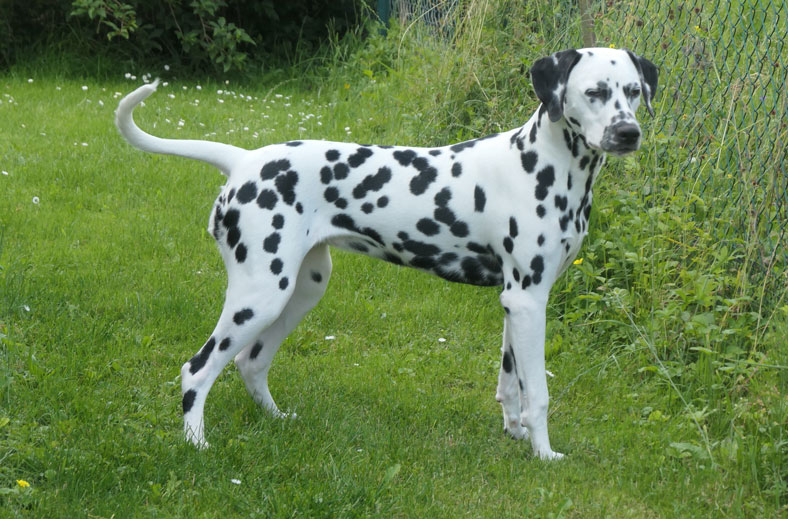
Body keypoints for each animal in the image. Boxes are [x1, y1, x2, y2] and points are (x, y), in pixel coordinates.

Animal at [116, 47, 657, 459]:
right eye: (594, 92)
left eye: (632, 91)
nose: (628, 133)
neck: (542, 164)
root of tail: (244, 160)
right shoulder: (528, 302)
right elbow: (538, 393)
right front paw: (543, 454)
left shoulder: (517, 302)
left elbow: (511, 384)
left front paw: (515, 434)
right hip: (260, 295)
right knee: (199, 369)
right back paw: (196, 443)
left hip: (302, 290)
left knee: (251, 362)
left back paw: (278, 419)